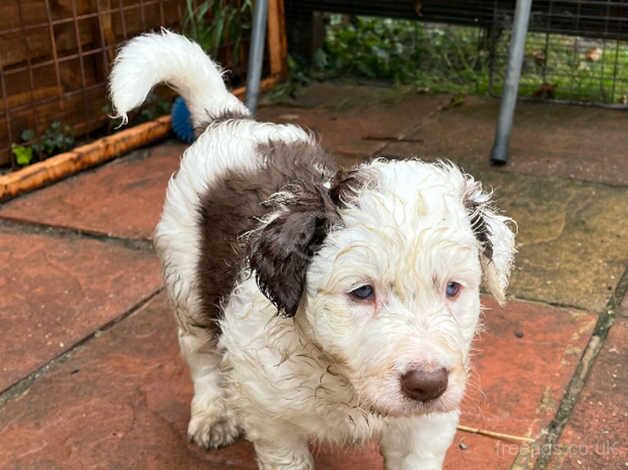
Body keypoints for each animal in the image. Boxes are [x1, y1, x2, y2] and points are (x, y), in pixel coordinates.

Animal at [111, 31, 516, 468]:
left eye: (453, 289)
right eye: (362, 292)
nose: (428, 384)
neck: (340, 377)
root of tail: (227, 120)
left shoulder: (425, 426)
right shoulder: (270, 415)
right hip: (185, 275)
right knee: (199, 352)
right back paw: (212, 415)